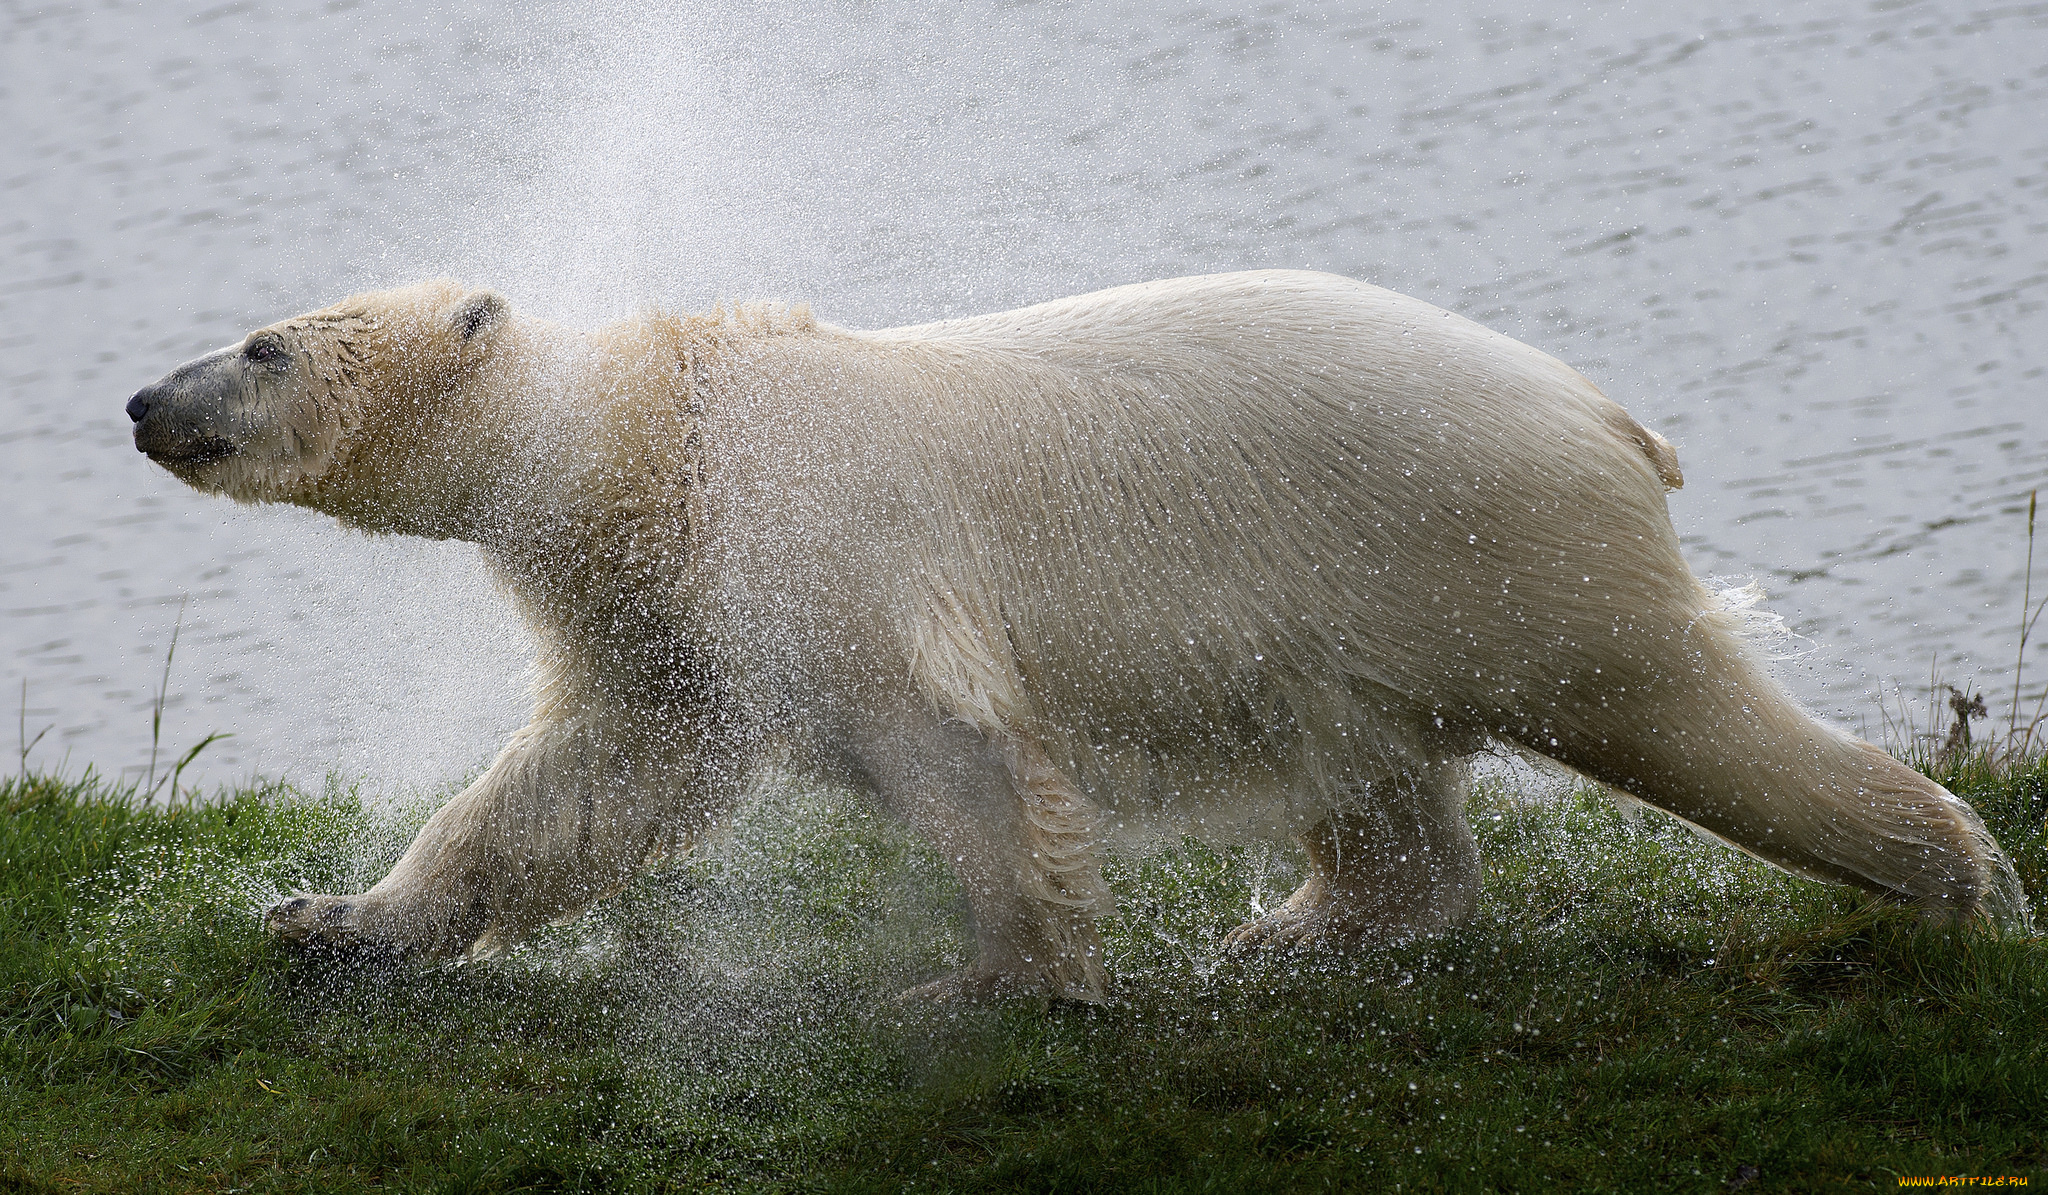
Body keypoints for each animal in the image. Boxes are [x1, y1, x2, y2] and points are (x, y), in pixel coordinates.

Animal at [128, 268, 2031, 1000]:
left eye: (264, 345)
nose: (146, 399)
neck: (660, 442)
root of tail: (1610, 417)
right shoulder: (670, 610)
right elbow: (584, 783)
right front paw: (332, 917)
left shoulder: (824, 548)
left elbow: (959, 747)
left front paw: (989, 978)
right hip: (1342, 615)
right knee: (1370, 783)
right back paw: (1294, 930)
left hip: (1486, 549)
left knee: (1683, 714)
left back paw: (1959, 880)